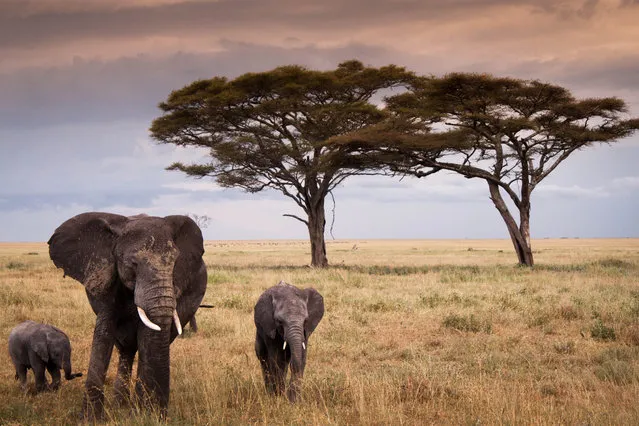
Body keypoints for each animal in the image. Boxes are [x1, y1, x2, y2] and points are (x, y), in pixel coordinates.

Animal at [48, 211, 208, 418]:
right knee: (125, 349)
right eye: (133, 264)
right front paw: (90, 418)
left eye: (174, 263)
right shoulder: (106, 278)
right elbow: (104, 332)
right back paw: (120, 405)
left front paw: (146, 414)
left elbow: (148, 336)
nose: (161, 411)